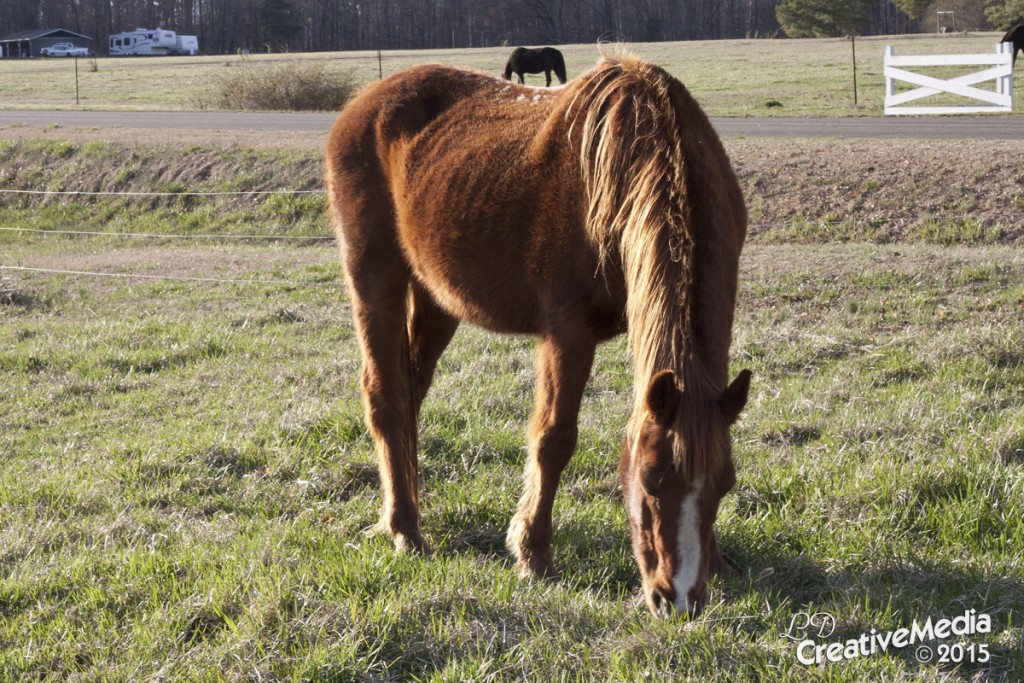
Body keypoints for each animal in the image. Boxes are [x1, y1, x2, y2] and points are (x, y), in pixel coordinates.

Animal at [327, 52, 753, 618]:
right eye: (649, 478)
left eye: (725, 484)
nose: (678, 600)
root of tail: (361, 105)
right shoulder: (567, 332)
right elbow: (554, 439)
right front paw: (532, 554)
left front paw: (720, 561)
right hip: (375, 278)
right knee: (386, 398)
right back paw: (405, 530)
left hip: (438, 299)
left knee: (410, 395)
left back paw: (407, 509)